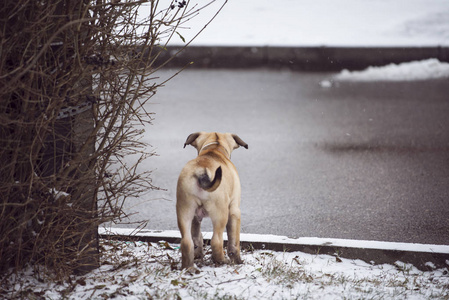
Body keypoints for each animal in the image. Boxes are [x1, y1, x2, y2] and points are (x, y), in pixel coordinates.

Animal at [176, 132, 247, 268]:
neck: (214, 149)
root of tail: (202, 171)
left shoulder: (195, 218)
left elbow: (197, 237)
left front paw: (198, 255)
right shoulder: (234, 211)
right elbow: (234, 241)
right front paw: (237, 260)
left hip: (184, 211)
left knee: (187, 242)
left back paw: (189, 268)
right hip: (221, 215)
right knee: (216, 241)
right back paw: (222, 261)